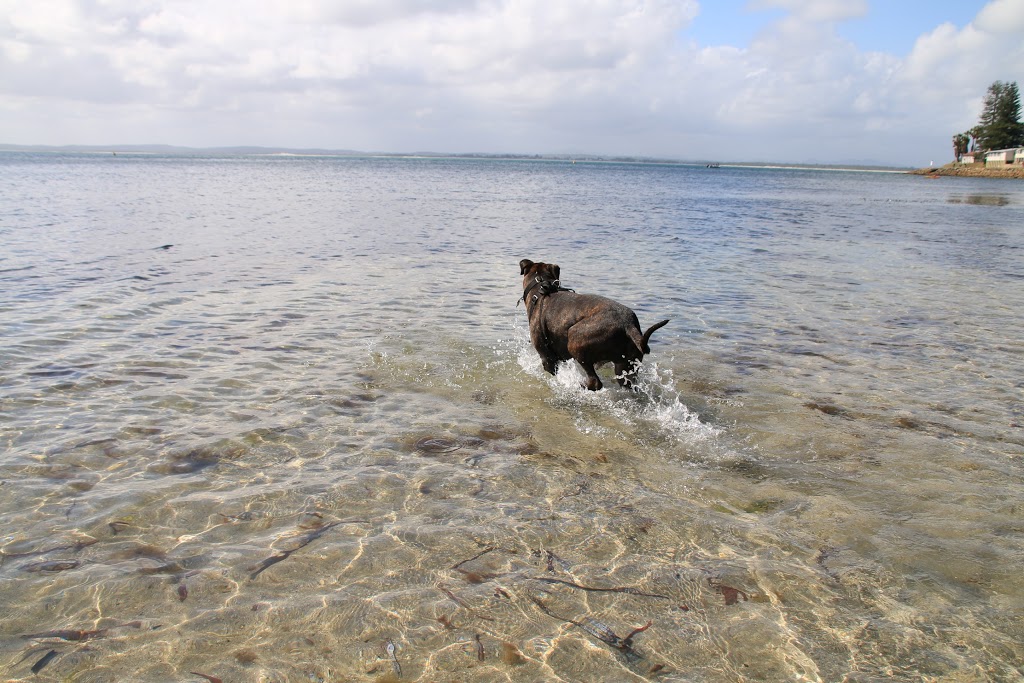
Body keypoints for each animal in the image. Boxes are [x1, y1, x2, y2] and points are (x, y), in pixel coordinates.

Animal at [516, 260, 667, 389]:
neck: (540, 288)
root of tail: (628, 324)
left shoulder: (547, 358)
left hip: (575, 340)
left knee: (595, 382)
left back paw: (578, 385)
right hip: (626, 366)